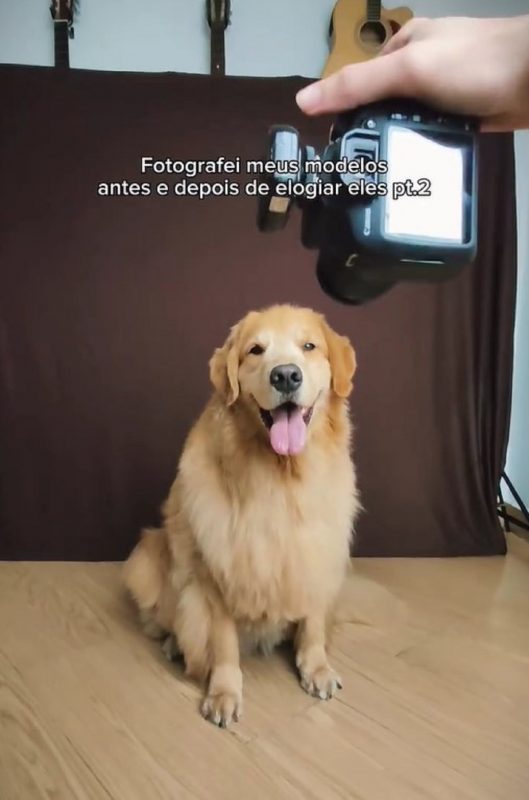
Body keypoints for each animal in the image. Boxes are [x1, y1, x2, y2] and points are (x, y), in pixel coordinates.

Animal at [122, 304, 360, 724]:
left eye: (309, 346)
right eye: (255, 350)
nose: (285, 375)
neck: (281, 478)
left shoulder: (316, 554)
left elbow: (313, 625)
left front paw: (316, 668)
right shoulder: (215, 574)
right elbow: (224, 644)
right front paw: (223, 692)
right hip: (147, 559)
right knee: (167, 618)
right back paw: (174, 644)